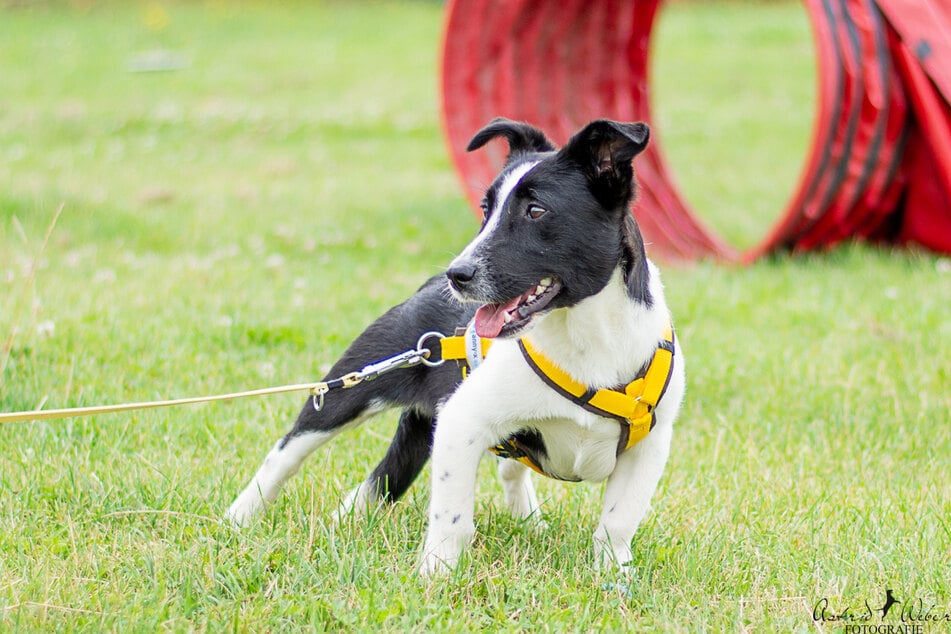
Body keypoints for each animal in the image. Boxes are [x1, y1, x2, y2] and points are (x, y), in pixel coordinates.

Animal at [225, 116, 684, 576]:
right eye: (485, 209)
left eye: (536, 210)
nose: (456, 275)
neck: (585, 337)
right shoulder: (461, 422)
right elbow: (452, 517)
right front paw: (436, 573)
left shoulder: (649, 447)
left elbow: (618, 522)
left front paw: (614, 576)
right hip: (351, 385)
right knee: (286, 453)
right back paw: (239, 518)